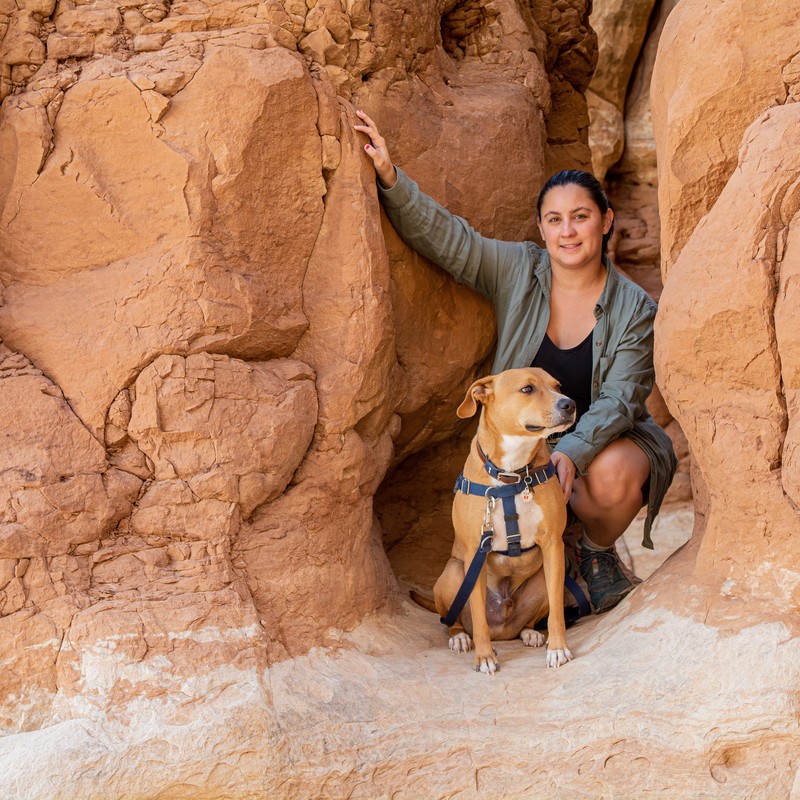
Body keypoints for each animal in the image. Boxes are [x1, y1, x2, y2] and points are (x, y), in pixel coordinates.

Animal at [434, 366, 580, 672]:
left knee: (529, 619)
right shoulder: (474, 552)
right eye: (527, 389)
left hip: (546, 579)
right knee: (455, 620)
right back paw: (460, 638)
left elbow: (557, 613)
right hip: (455, 573)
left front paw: (558, 648)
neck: (512, 472)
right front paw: (484, 657)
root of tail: (502, 626)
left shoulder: (553, 545)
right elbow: (478, 617)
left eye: (557, 386)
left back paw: (531, 633)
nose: (569, 404)